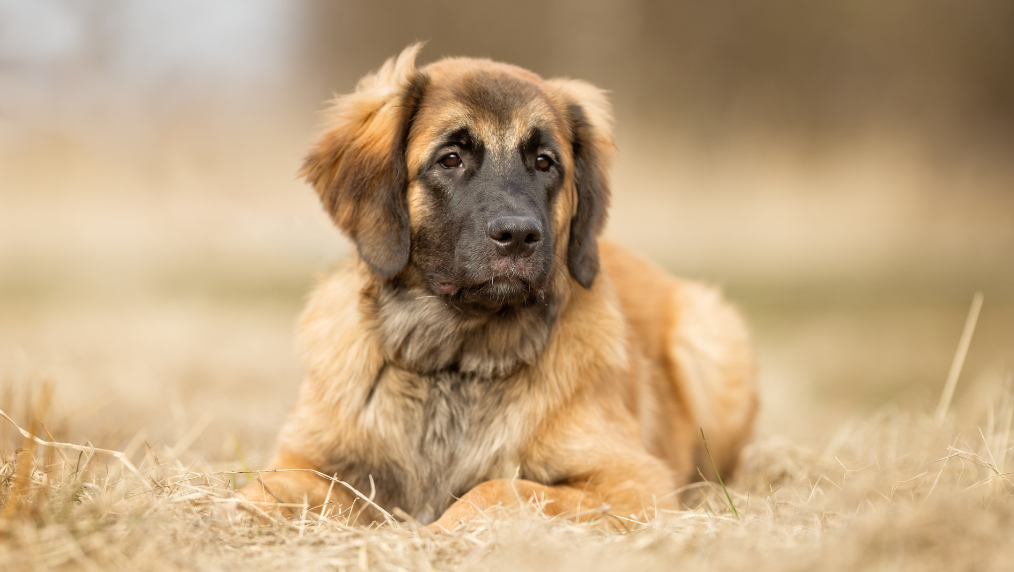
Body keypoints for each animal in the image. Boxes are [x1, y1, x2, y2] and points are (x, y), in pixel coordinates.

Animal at [241, 44, 758, 531]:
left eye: (545, 163)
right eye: (451, 159)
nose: (519, 235)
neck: (455, 365)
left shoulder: (633, 480)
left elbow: (500, 490)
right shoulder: (308, 462)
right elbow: (260, 490)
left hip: (707, 336)